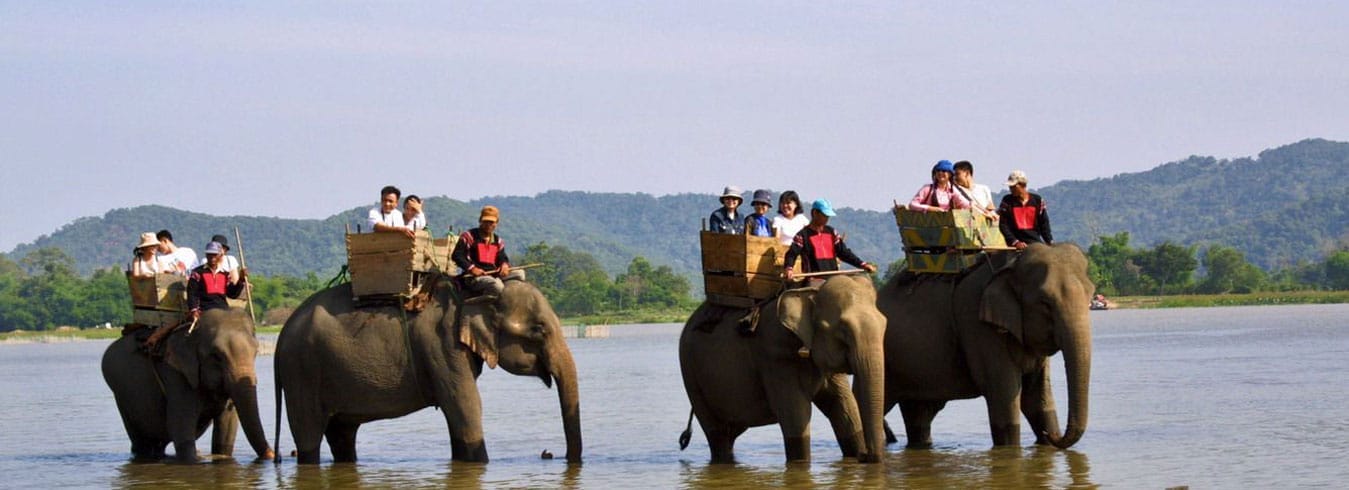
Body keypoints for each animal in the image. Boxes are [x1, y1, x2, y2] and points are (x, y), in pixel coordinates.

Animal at [102, 308, 275, 462]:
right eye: (216, 356)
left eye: (256, 352)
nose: (273, 456)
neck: (191, 332)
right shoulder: (175, 372)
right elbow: (181, 425)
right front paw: (192, 461)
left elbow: (227, 426)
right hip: (122, 396)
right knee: (142, 441)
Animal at [274, 276, 581, 464]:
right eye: (539, 329)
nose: (554, 455)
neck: (469, 293)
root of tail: (279, 340)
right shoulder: (443, 346)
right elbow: (464, 405)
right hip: (302, 373)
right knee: (309, 434)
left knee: (342, 433)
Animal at [679, 274, 887, 464]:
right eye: (843, 331)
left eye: (884, 324)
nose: (865, 456)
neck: (810, 291)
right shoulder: (775, 354)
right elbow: (796, 414)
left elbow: (844, 407)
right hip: (690, 373)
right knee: (717, 434)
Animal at [878, 242, 1093, 449]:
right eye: (1045, 303)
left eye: (1090, 296)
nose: (1052, 435)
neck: (1012, 264)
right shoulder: (978, 326)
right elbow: (1004, 398)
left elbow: (1036, 402)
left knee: (920, 412)